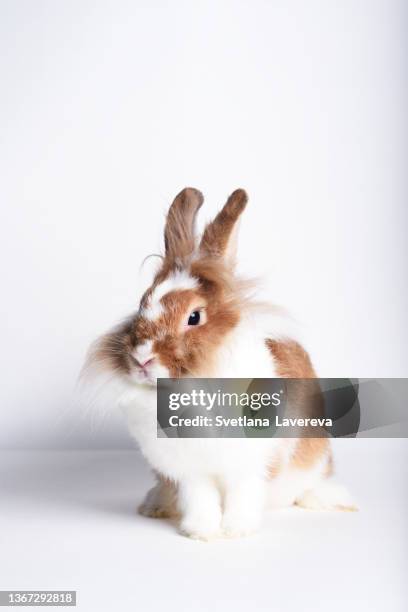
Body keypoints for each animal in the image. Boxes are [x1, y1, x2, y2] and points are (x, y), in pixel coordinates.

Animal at [84, 188, 356, 540]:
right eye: (142, 304)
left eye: (194, 317)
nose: (142, 358)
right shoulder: (188, 472)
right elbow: (199, 499)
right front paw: (203, 532)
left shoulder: (251, 463)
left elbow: (244, 494)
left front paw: (236, 530)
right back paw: (155, 506)